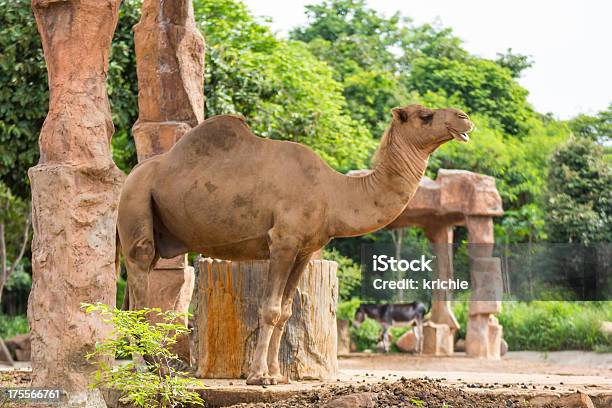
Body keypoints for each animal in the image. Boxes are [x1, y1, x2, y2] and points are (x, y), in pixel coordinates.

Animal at [119, 103, 474, 384]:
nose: (464, 118)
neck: (335, 193)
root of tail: (131, 176)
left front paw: (277, 375)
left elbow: (287, 311)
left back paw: (156, 368)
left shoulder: (305, 250)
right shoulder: (283, 241)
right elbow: (270, 309)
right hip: (137, 207)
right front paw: (258, 377)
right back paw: (144, 370)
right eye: (425, 116)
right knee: (138, 289)